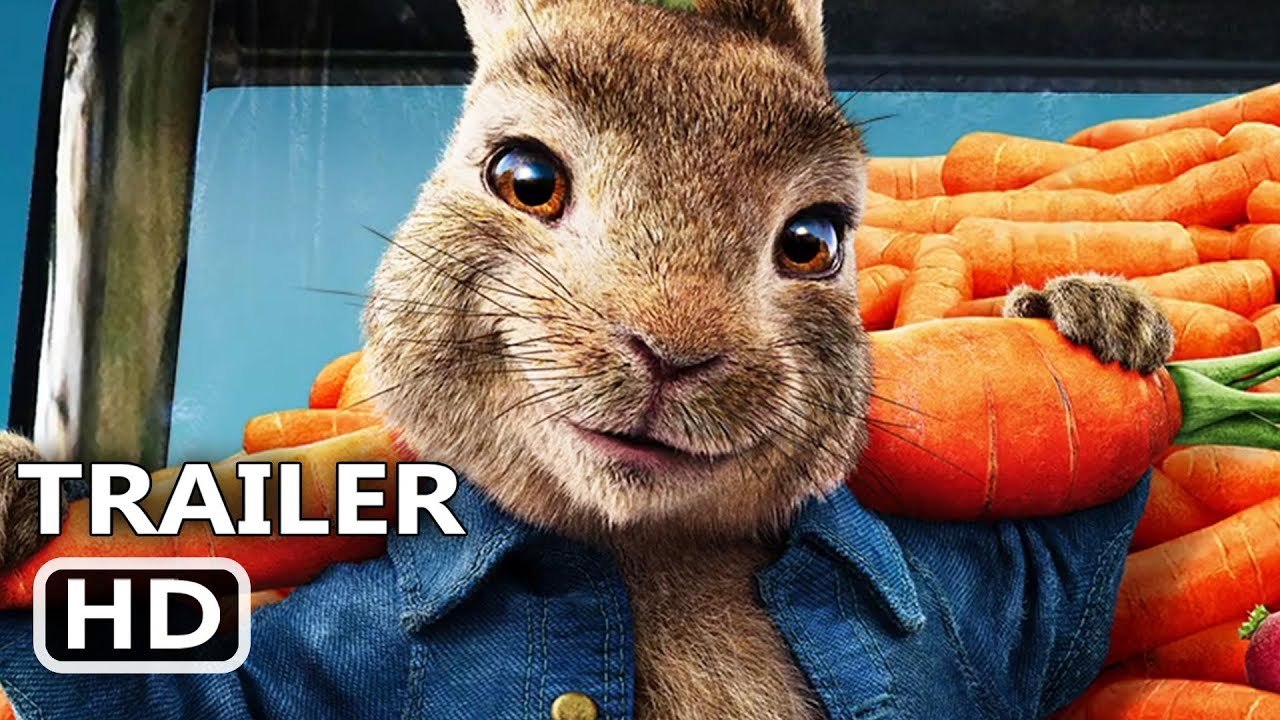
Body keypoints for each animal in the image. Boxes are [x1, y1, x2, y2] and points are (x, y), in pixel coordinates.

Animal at [0, 1, 1173, 718]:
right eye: (522, 177)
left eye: (814, 240)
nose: (675, 352)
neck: (647, 551)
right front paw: (18, 487)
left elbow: (1066, 582)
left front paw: (1090, 315)